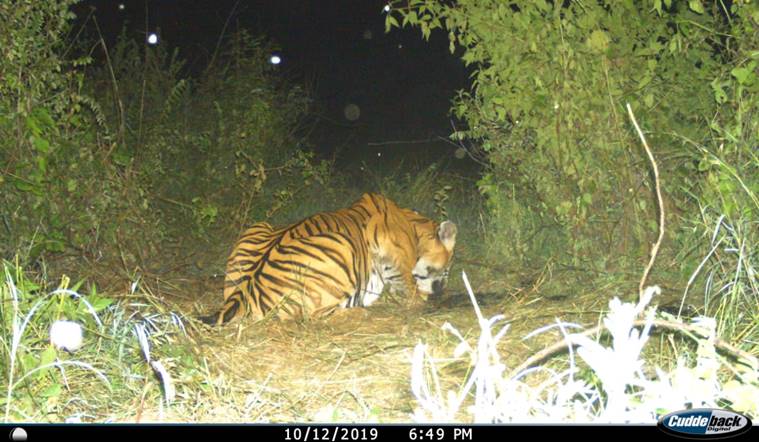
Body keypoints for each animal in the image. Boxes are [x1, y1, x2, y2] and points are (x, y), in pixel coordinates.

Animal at [201, 193, 457, 325]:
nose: (442, 287)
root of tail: (244, 291)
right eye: (448, 267)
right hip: (343, 245)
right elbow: (416, 296)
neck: (414, 227)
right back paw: (361, 311)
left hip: (257, 226)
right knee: (315, 316)